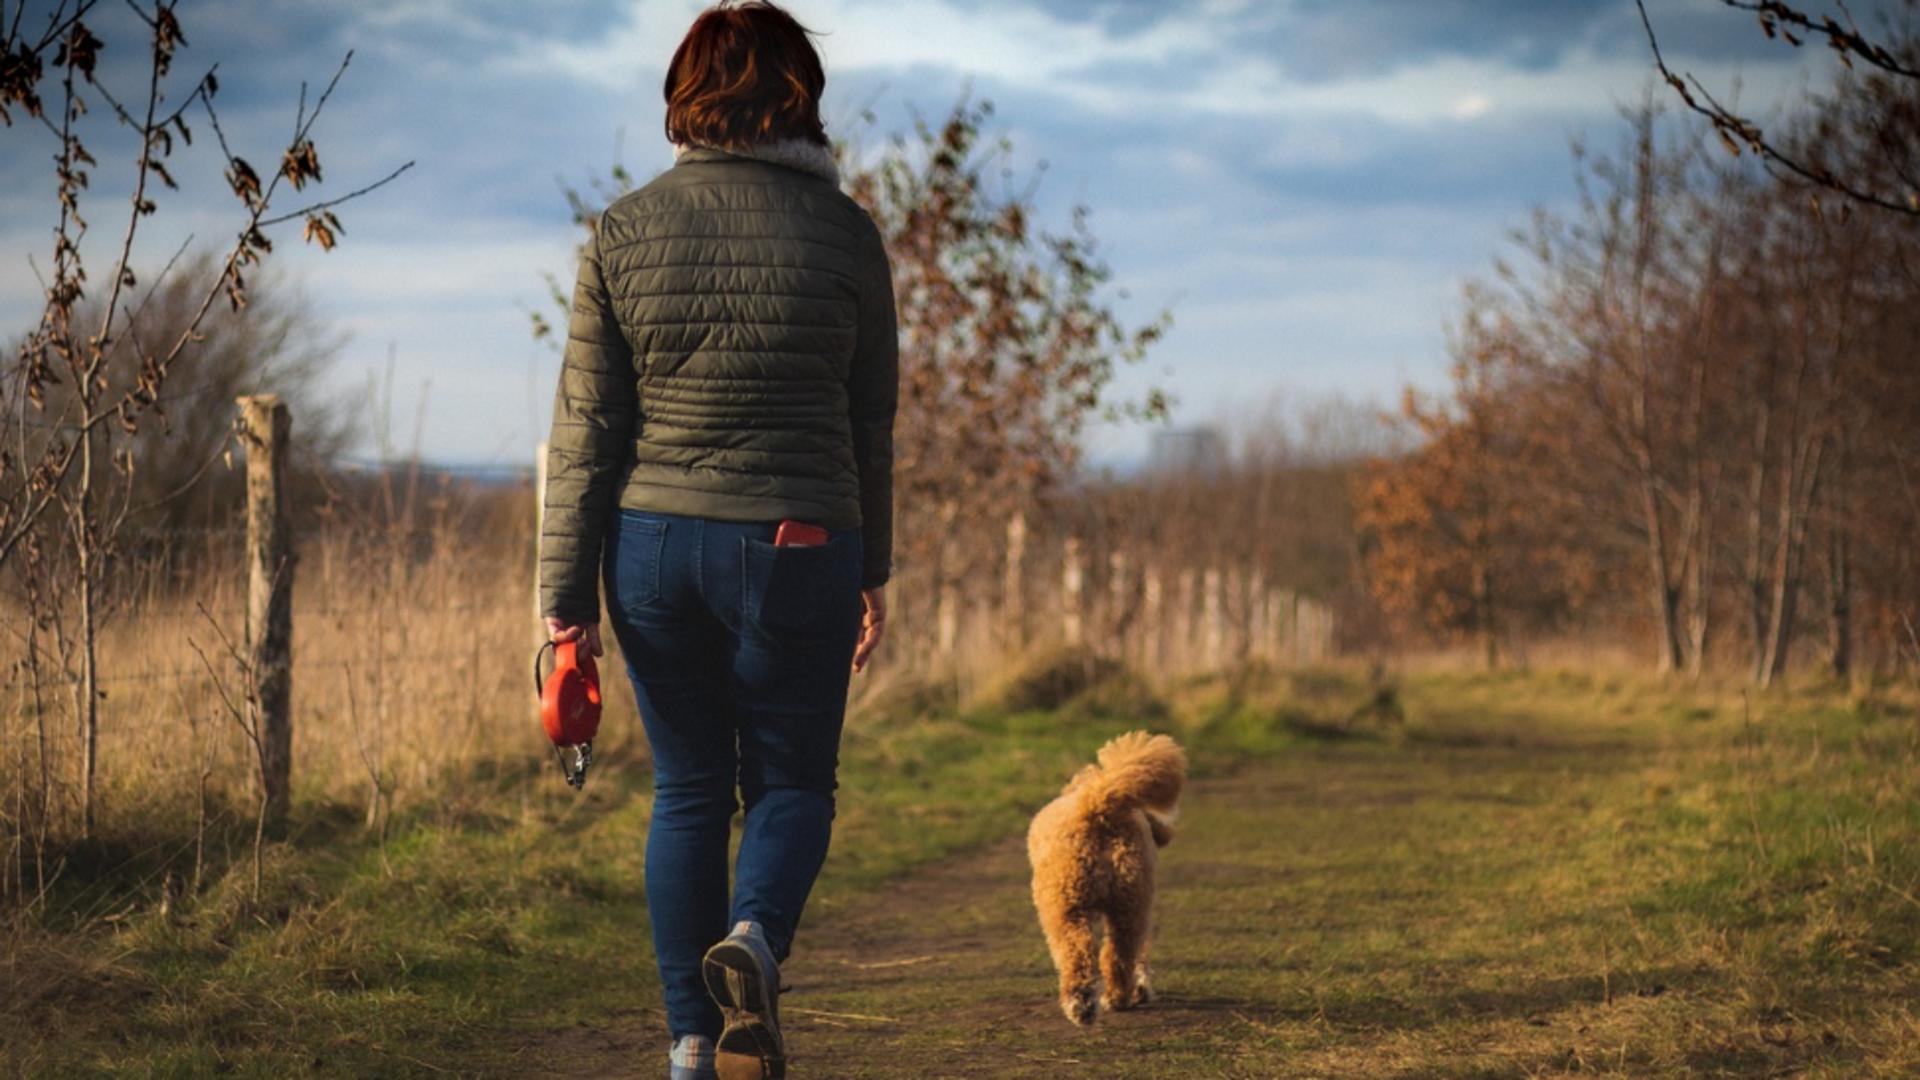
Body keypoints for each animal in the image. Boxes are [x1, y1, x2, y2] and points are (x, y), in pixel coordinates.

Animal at [1021, 726, 1182, 1022]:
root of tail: (1098, 805)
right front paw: (1141, 988)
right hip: (1130, 903)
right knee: (1119, 954)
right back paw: (1116, 998)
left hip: (1064, 906)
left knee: (1077, 954)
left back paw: (1081, 1003)